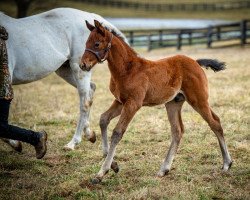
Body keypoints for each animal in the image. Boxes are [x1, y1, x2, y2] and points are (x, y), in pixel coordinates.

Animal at [80, 20, 232, 183]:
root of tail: (196, 62)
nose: (83, 65)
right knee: (178, 131)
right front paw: (114, 165)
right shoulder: (120, 102)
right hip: (173, 103)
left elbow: (117, 132)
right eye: (86, 42)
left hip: (198, 100)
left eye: (96, 44)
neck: (127, 69)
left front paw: (101, 172)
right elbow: (103, 119)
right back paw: (164, 169)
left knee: (215, 123)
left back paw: (227, 164)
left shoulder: (133, 104)